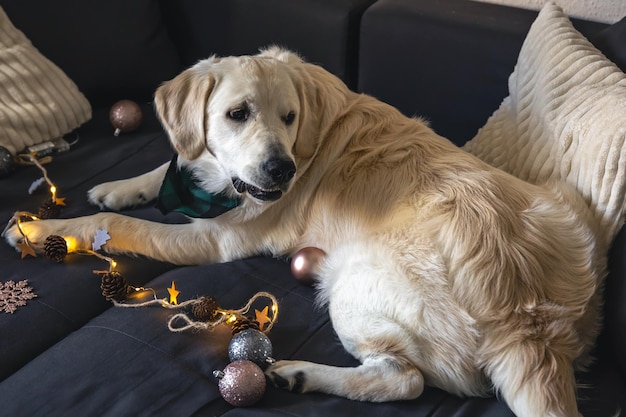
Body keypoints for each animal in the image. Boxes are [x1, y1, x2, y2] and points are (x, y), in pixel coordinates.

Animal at [4, 47, 604, 414]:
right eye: (237, 114)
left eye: (289, 117)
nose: (281, 170)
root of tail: (528, 316)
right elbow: (164, 168)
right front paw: (116, 185)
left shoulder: (214, 238)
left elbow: (117, 223)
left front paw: (44, 229)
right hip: (567, 209)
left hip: (353, 289)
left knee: (404, 378)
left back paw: (300, 374)